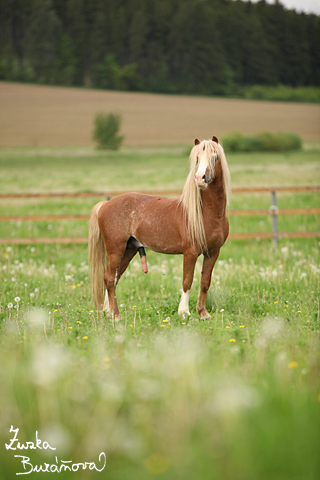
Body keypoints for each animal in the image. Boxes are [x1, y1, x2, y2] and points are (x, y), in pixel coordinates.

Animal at [89, 137, 231, 320]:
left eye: (215, 157)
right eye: (197, 158)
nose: (200, 179)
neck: (206, 213)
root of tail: (105, 204)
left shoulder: (213, 253)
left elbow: (205, 282)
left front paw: (203, 313)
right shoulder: (190, 252)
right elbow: (187, 281)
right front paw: (184, 312)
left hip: (128, 250)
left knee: (114, 279)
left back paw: (108, 312)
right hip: (115, 249)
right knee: (108, 278)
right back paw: (116, 315)